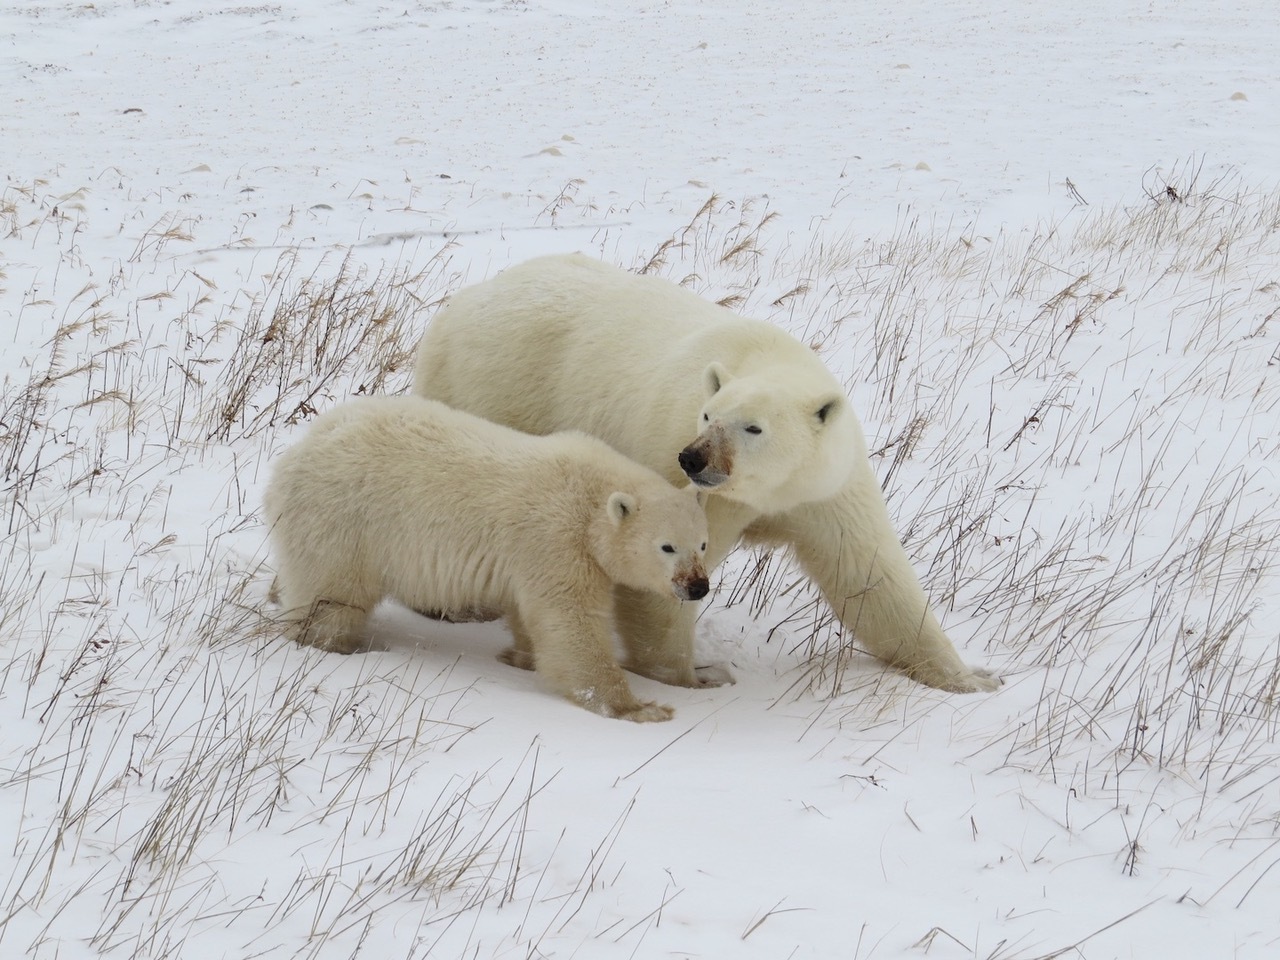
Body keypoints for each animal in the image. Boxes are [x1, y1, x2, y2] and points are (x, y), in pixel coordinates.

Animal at [262, 394, 710, 722]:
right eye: (667, 547)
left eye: (702, 545)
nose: (698, 587)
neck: (591, 496)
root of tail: (292, 456)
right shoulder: (556, 540)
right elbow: (572, 622)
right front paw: (640, 708)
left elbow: (531, 617)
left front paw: (519, 658)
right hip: (342, 521)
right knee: (330, 598)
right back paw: (339, 645)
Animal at [412, 253, 998, 694]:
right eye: (707, 414)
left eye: (753, 427)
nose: (692, 459)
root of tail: (460, 304)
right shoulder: (688, 483)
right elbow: (656, 564)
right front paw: (695, 677)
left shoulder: (825, 488)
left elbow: (871, 577)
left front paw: (973, 679)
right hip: (494, 392)